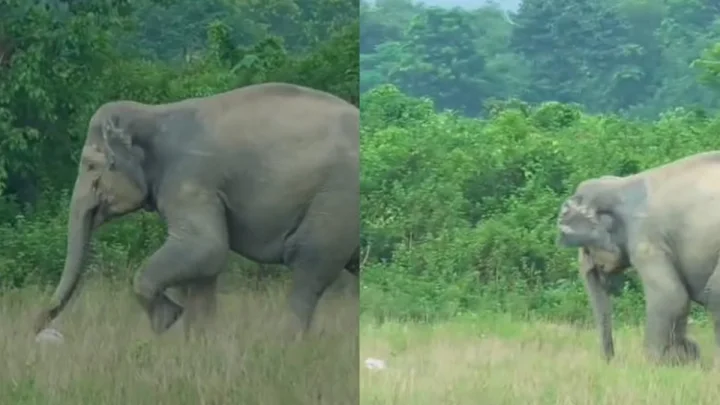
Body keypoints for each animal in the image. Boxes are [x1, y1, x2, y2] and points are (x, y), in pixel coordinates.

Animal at [33, 82, 359, 340]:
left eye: (90, 165)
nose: (38, 325)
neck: (154, 113)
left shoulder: (191, 179)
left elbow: (206, 247)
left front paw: (168, 319)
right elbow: (205, 268)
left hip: (335, 202)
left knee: (308, 265)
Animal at [556, 151, 720, 365]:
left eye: (586, 250)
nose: (610, 361)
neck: (620, 185)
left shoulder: (646, 239)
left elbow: (671, 296)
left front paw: (659, 362)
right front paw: (686, 356)